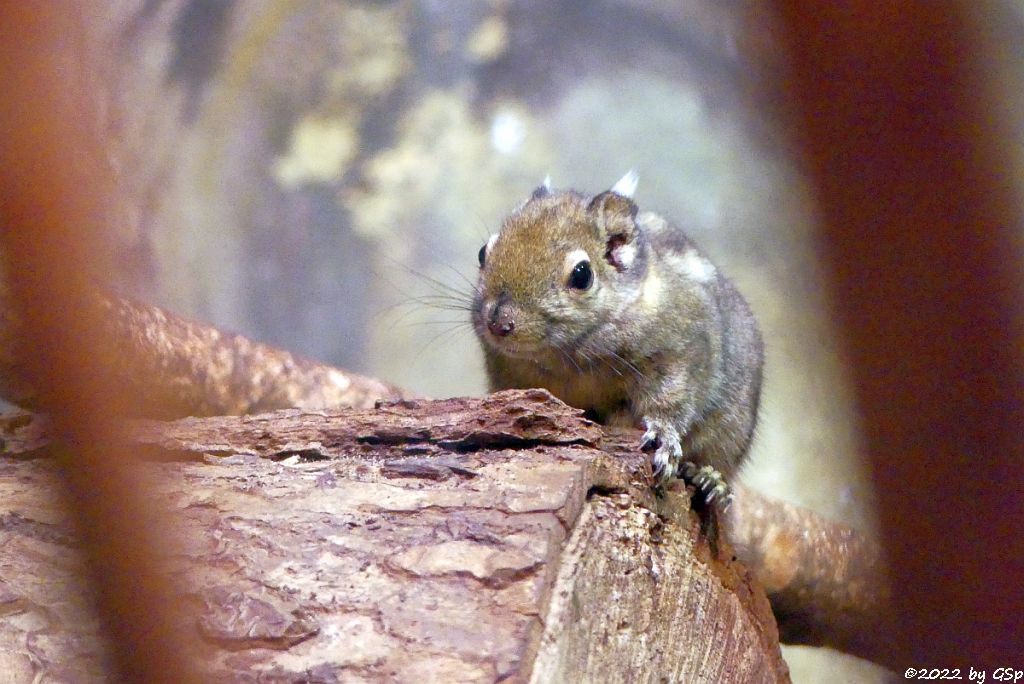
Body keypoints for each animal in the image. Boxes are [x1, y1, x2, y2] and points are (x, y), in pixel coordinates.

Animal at [468, 174, 761, 548]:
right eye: (482, 252)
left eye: (581, 275)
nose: (498, 323)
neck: (567, 355)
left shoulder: (681, 354)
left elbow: (671, 405)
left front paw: (663, 440)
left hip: (730, 430)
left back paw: (710, 478)